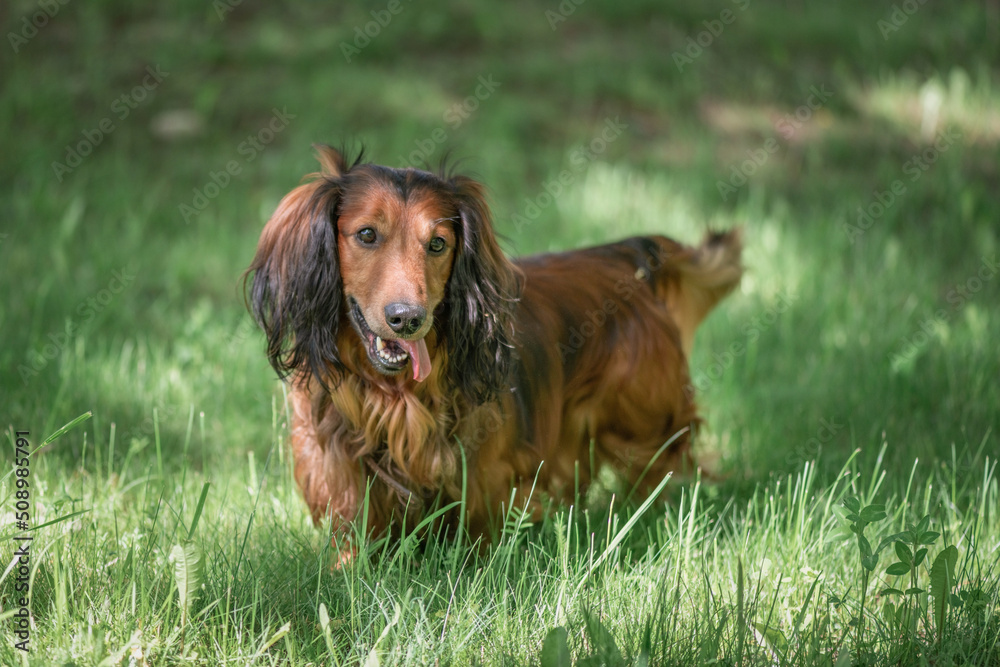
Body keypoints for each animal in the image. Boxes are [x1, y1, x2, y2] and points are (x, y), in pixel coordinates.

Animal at [246, 149, 740, 552]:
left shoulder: (485, 474)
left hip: (643, 422)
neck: (396, 394)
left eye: (438, 243)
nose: (408, 319)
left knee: (665, 469)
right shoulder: (337, 468)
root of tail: (624, 258)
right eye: (366, 234)